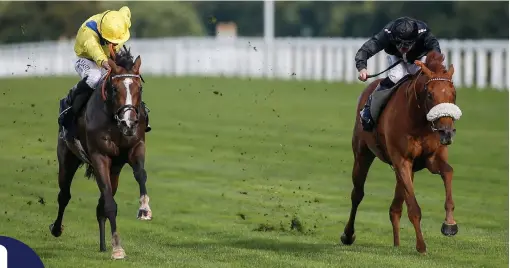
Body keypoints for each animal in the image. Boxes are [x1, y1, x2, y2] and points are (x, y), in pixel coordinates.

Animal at [49, 46, 151, 260]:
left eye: (139, 88)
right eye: (115, 89)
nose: (129, 123)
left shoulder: (136, 147)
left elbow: (140, 174)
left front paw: (144, 209)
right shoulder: (99, 157)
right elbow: (110, 204)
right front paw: (118, 248)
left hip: (115, 170)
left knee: (101, 203)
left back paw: (104, 245)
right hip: (67, 157)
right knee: (64, 195)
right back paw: (56, 228)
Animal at [340, 50, 464, 253]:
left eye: (453, 94)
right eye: (430, 95)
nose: (447, 132)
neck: (418, 121)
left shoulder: (430, 159)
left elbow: (448, 171)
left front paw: (449, 224)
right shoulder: (402, 161)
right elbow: (413, 207)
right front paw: (421, 246)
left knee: (395, 208)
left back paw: (397, 245)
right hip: (362, 154)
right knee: (357, 194)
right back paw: (348, 235)